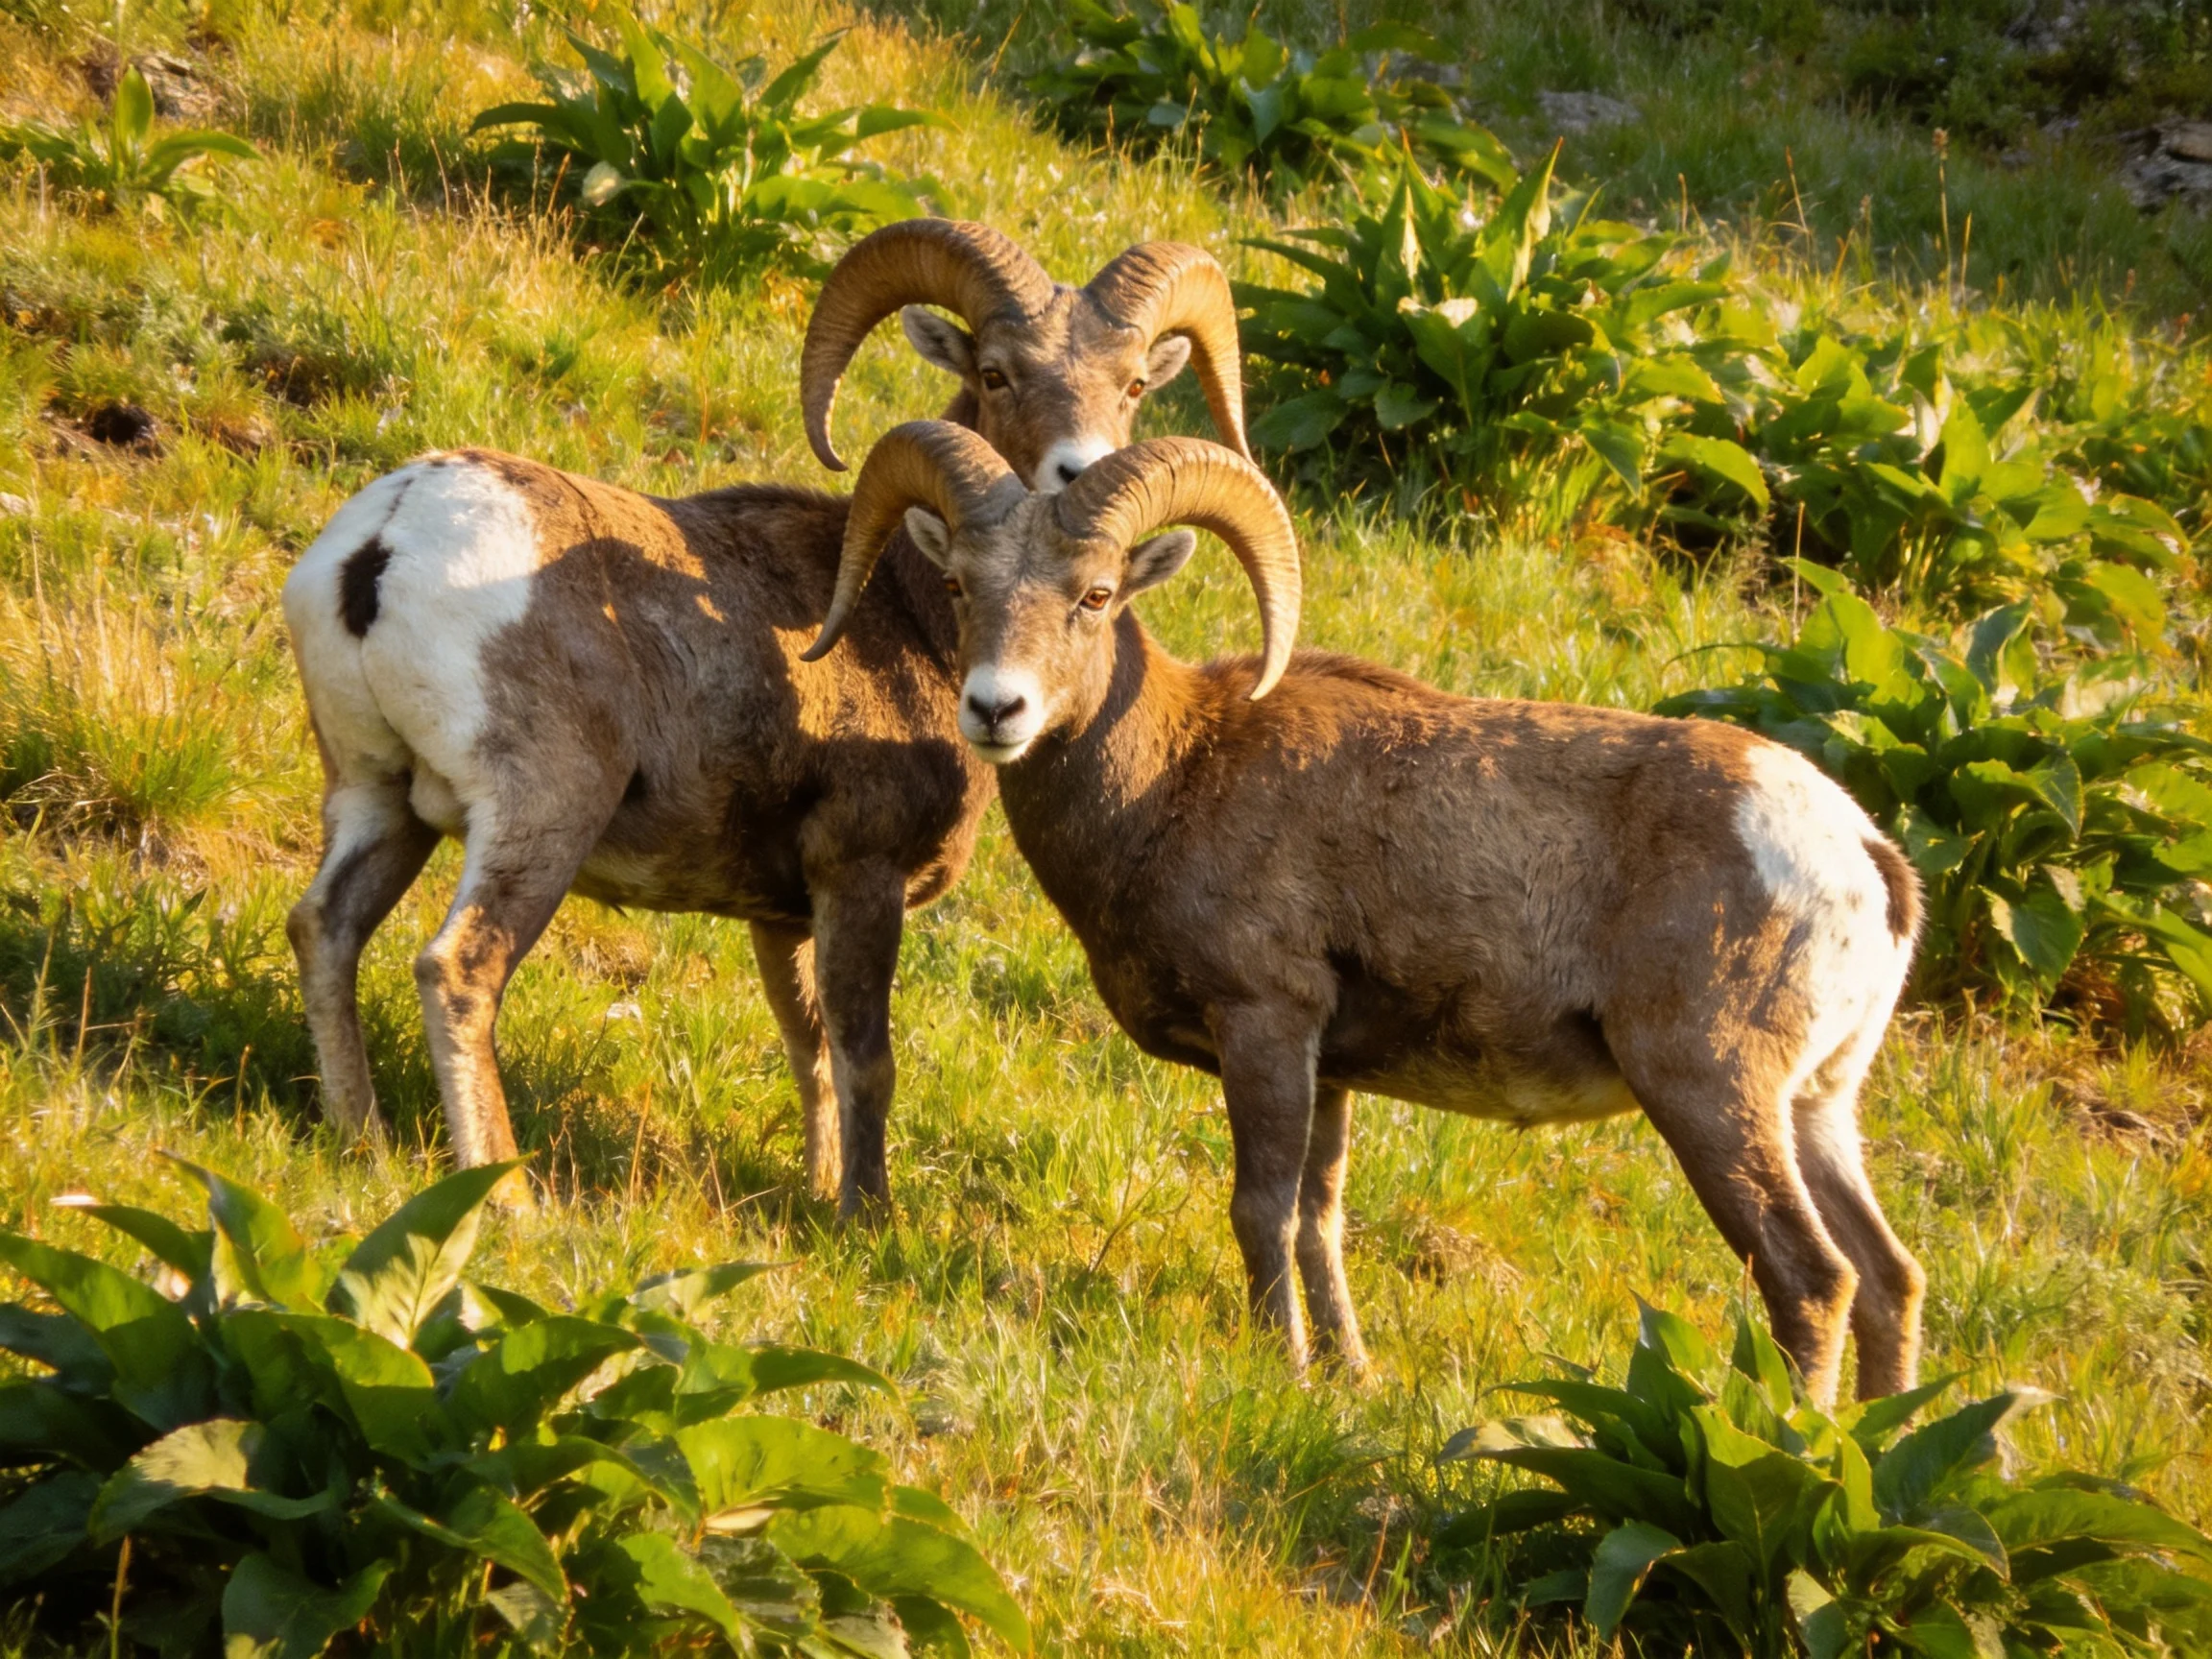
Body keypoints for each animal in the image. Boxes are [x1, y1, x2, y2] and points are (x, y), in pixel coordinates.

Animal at [280, 220, 1249, 1215]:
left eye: (1133, 384)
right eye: (997, 371)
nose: (1076, 472)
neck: (903, 614)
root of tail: (387, 541)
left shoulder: (781, 914)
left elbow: (808, 1048)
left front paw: (817, 1192)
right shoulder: (860, 880)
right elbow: (864, 1061)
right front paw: (862, 1214)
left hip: (377, 799)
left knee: (326, 928)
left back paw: (361, 1139)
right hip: (539, 817)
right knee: (460, 968)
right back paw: (507, 1196)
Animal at [808, 420, 1928, 1404]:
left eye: (1094, 594)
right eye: (962, 586)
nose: (996, 710)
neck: (1176, 775)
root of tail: (1865, 862)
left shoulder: (1266, 1025)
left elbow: (1260, 1211)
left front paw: (1289, 1369)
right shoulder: (1334, 1069)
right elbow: (1319, 1220)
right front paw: (1349, 1371)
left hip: (1709, 1094)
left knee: (1811, 1279)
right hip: (1816, 1107)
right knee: (1888, 1278)